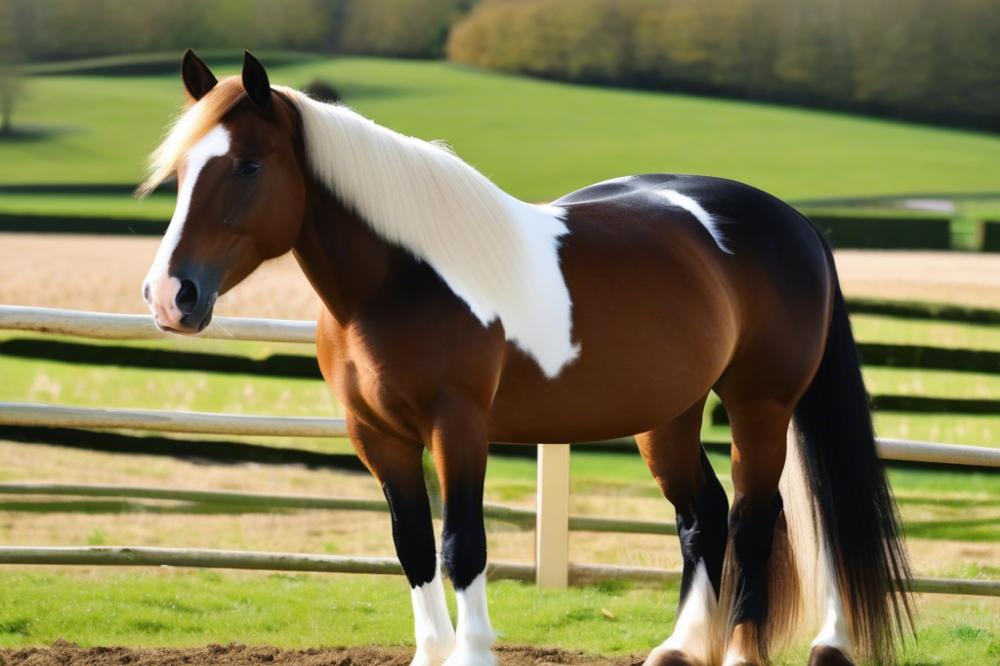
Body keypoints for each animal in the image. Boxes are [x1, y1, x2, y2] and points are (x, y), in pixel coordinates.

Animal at [141, 52, 916, 664]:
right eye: (180, 170)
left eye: (247, 165)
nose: (170, 295)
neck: (401, 278)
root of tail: (797, 223)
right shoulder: (377, 436)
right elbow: (412, 547)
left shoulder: (458, 428)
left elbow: (461, 546)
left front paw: (471, 657)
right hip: (668, 416)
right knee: (706, 516)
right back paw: (677, 648)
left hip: (763, 404)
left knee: (760, 518)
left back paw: (748, 652)